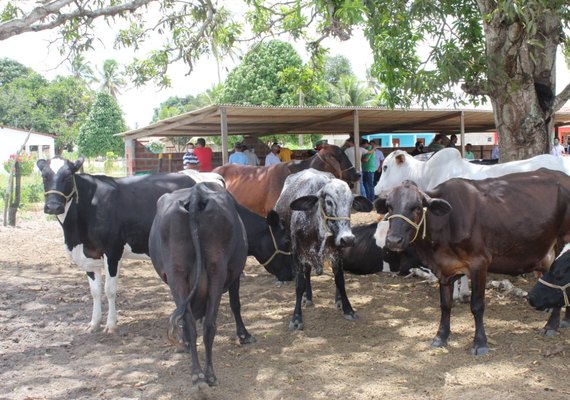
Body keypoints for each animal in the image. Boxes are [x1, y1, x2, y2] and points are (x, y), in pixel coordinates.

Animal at [37, 156, 197, 332]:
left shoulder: (113, 251)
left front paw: (111, 324)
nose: (53, 206)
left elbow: (110, 290)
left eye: (68, 176)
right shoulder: (89, 255)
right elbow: (95, 291)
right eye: (44, 176)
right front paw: (94, 323)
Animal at [149, 183, 248, 390]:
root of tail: (196, 193)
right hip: (214, 270)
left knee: (196, 323)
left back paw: (199, 375)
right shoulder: (236, 274)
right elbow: (235, 304)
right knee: (206, 324)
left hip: (178, 272)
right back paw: (205, 375)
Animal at [272, 167, 372, 330]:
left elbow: (340, 280)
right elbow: (299, 285)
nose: (348, 239)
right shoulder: (297, 253)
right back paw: (307, 297)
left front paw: (348, 309)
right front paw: (296, 318)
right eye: (329, 202)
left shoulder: (337, 253)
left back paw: (338, 300)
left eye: (351, 203)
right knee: (306, 273)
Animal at [372, 170, 568, 356]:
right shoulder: (445, 269)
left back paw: (551, 326)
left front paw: (480, 343)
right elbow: (445, 305)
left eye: (417, 206)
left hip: (563, 241)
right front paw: (441, 336)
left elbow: (477, 306)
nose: (394, 241)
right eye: (389, 206)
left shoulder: (479, 264)